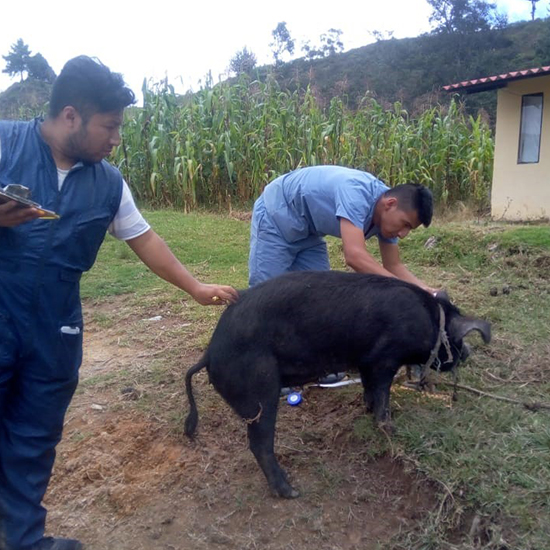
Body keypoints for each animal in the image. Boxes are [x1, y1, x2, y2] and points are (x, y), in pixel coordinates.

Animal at [185, 272, 492, 500]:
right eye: (457, 339)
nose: (467, 354)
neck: (429, 323)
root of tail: (210, 353)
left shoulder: (367, 362)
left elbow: (370, 389)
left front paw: (369, 410)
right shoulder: (384, 359)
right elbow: (383, 392)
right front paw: (390, 427)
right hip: (260, 388)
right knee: (259, 444)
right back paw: (291, 492)